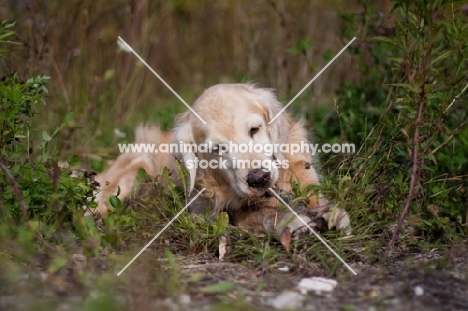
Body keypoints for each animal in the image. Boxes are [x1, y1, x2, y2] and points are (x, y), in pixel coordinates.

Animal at [96, 84, 352, 238]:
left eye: (254, 129)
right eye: (218, 148)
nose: (259, 179)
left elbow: (317, 201)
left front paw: (331, 214)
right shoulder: (203, 211)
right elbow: (255, 215)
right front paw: (292, 221)